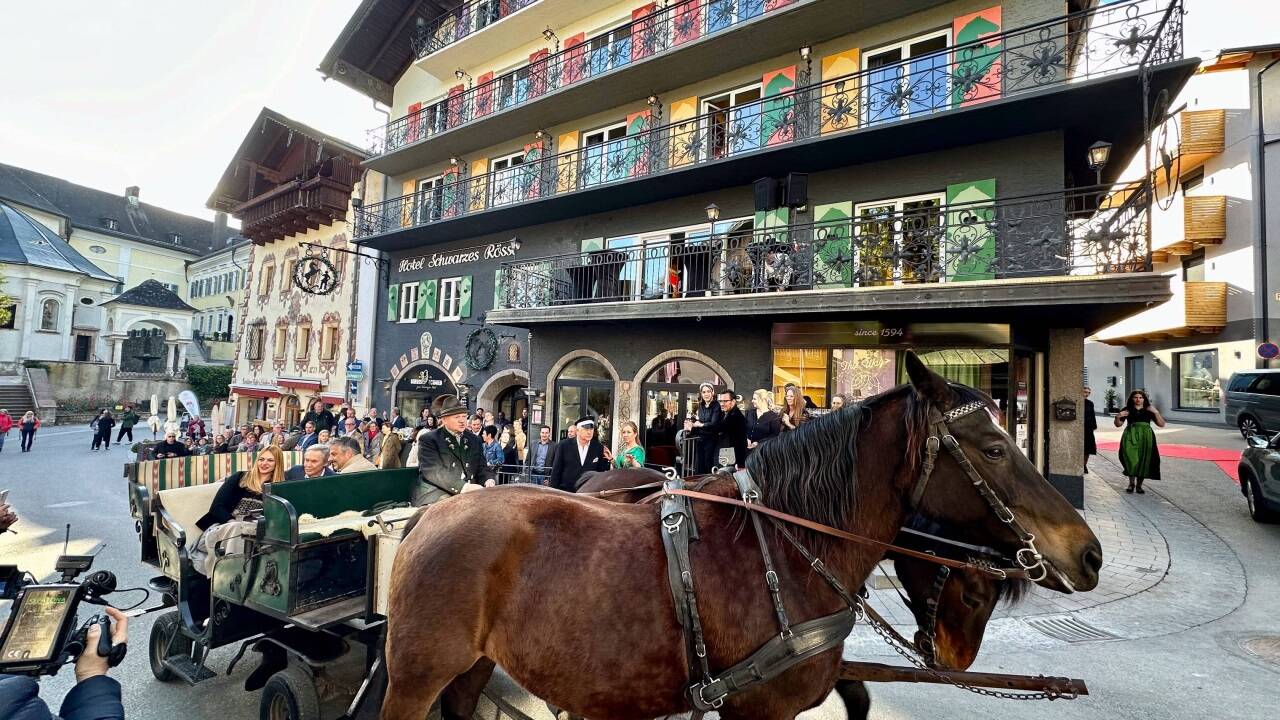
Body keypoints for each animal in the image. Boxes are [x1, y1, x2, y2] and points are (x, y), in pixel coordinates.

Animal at [381, 353, 1100, 717]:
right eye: (993, 448)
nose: (1087, 552)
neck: (785, 547)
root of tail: (428, 518)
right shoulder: (759, 708)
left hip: (471, 667)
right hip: (416, 675)